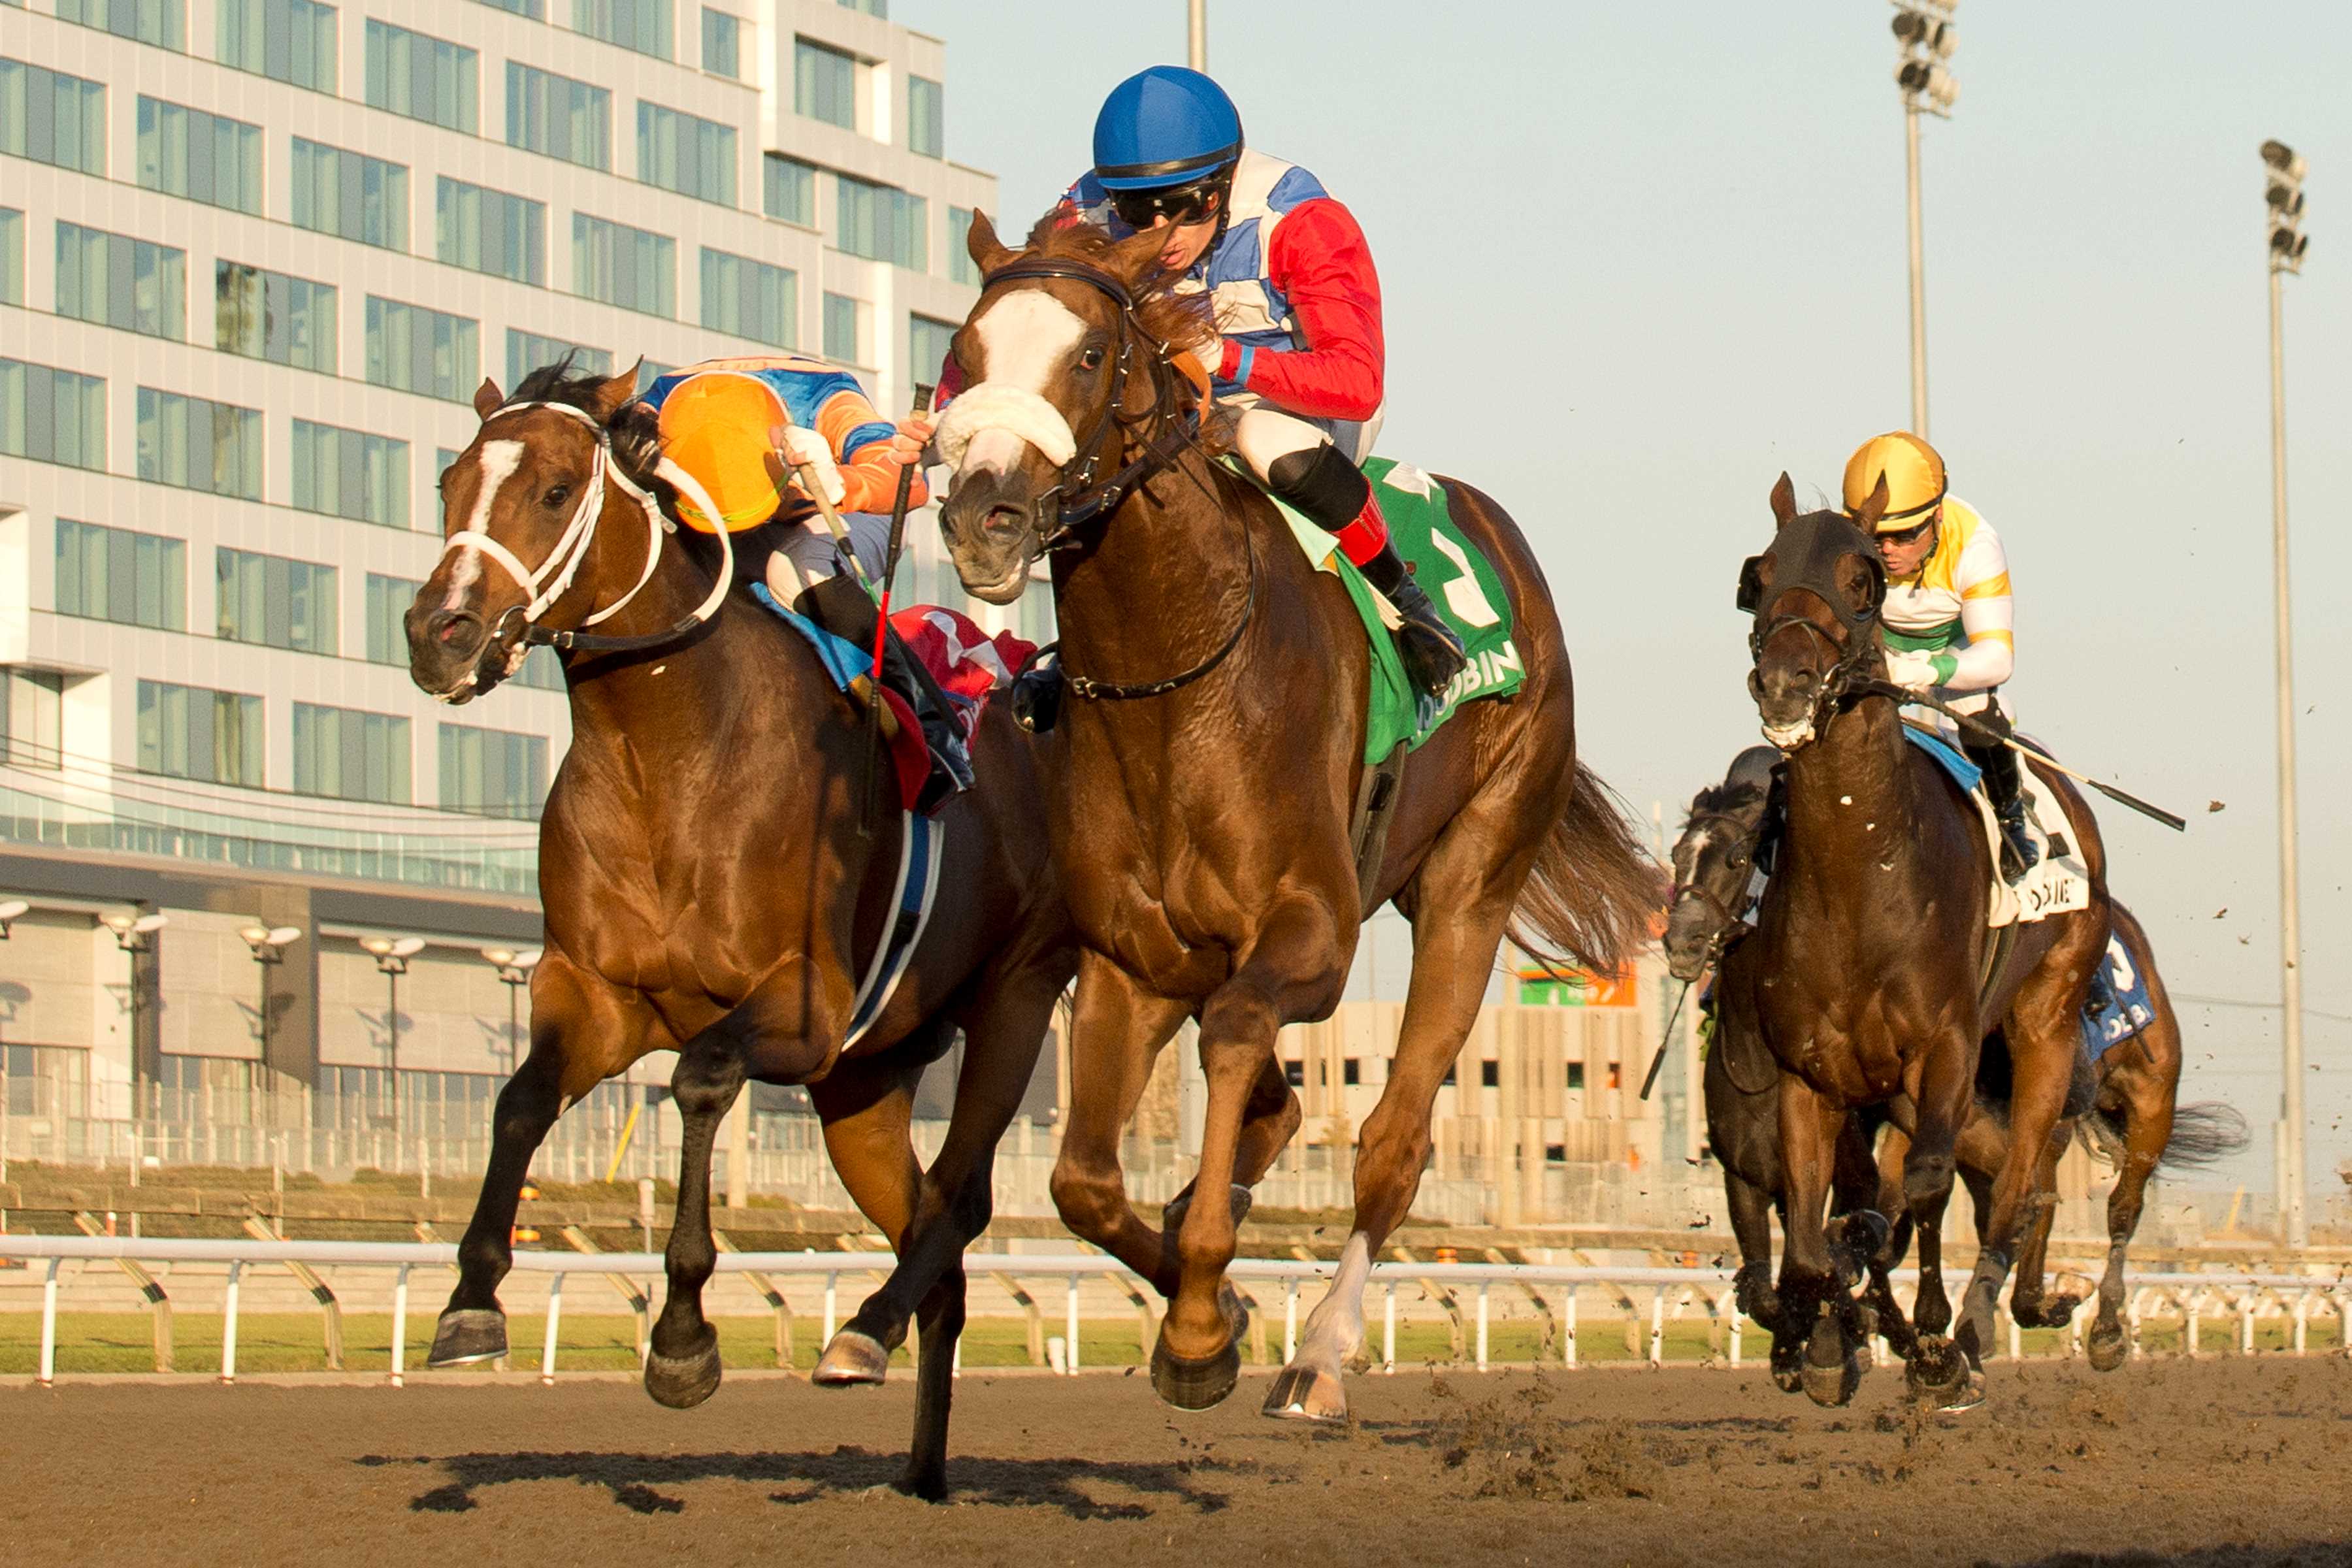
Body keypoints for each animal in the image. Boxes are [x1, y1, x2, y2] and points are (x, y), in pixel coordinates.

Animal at [402, 362, 1077, 1504]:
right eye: (450, 482)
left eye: (551, 490)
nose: (438, 631)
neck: (668, 746)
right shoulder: (595, 996)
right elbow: (520, 1100)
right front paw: (469, 1308)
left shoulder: (802, 1009)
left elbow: (701, 1080)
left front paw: (682, 1342)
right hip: (862, 1088)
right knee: (937, 1259)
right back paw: (917, 1464)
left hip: (1015, 1004)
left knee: (960, 1204)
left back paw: (868, 1349)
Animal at [922, 215, 1656, 1429]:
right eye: (963, 355)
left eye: (1089, 355)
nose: (984, 516)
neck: (1179, 682)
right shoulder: (1131, 955)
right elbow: (1083, 1181)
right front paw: (1203, 1301)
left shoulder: (1313, 932)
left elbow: (1233, 1039)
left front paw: (1201, 1321)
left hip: (1474, 875)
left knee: (1392, 1142)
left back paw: (1319, 1355)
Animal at [1674, 752, 2239, 1382]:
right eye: (1676, 855)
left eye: (1738, 857)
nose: (1681, 939)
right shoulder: (1755, 1178)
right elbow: (1780, 1278)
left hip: (2148, 1099)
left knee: (2119, 1206)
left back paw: (2100, 1327)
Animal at [1740, 480, 2126, 1410]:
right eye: (1758, 576)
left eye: (1863, 581)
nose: (1786, 684)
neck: (1861, 878)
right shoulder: (1812, 1073)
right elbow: (1812, 1221)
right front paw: (1821, 1338)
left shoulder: (1946, 1048)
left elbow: (1919, 1190)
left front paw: (1926, 1341)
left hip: (2044, 1026)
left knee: (2015, 1189)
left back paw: (1968, 1338)